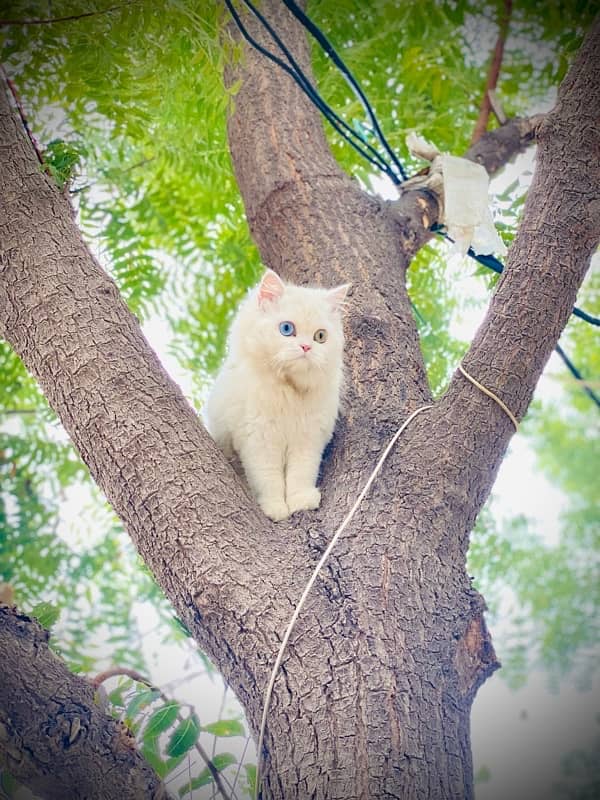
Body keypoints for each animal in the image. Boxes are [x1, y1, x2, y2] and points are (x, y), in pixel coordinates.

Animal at [206, 268, 350, 520]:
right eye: (286, 329)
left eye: (320, 336)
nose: (306, 348)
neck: (288, 391)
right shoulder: (258, 439)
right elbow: (268, 479)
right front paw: (275, 509)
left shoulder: (307, 440)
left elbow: (301, 474)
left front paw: (301, 502)